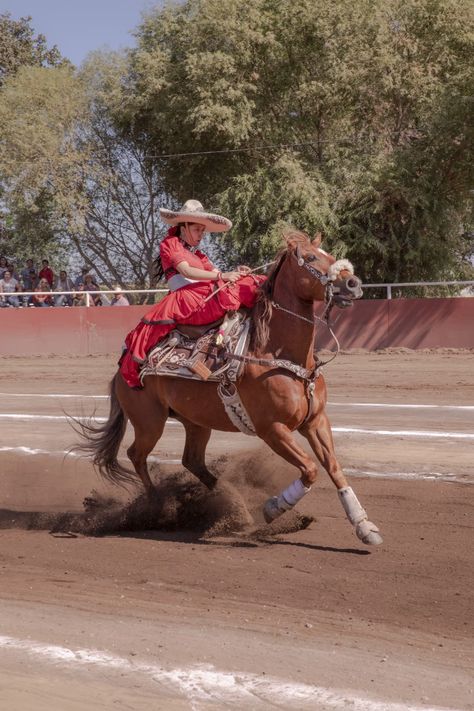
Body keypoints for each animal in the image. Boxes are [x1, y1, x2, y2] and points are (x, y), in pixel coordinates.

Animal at [77, 231, 382, 548]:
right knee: (137, 455)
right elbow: (310, 469)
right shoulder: (272, 429)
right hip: (150, 423)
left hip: (196, 423)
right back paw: (157, 506)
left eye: (330, 255)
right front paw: (273, 507)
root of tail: (122, 368)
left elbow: (333, 467)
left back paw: (233, 505)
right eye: (310, 257)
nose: (353, 283)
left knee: (192, 461)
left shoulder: (316, 421)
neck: (277, 354)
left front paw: (363, 526)